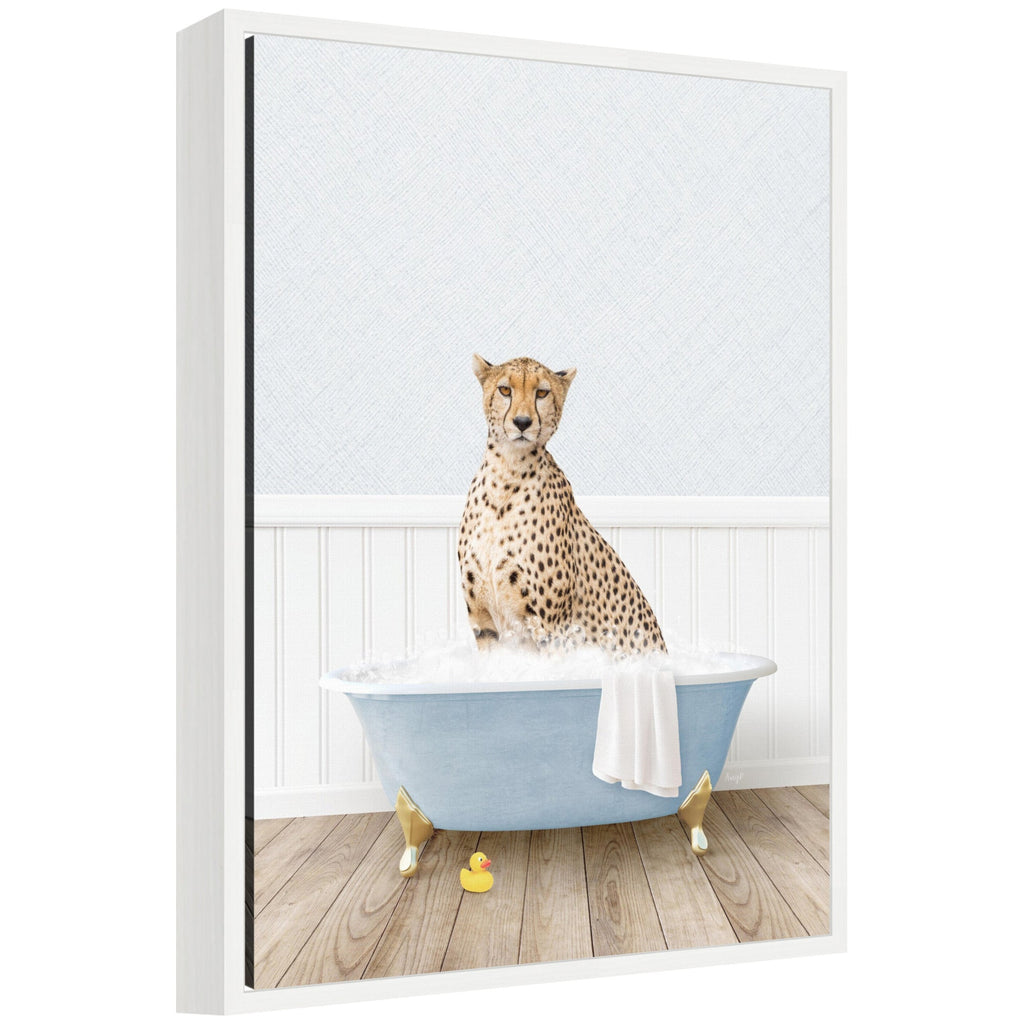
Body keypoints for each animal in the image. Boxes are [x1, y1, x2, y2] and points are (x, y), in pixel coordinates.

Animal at [457, 354, 667, 656]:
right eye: (505, 390)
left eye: (542, 393)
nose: (522, 422)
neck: (506, 473)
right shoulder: (483, 622)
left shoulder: (551, 629)